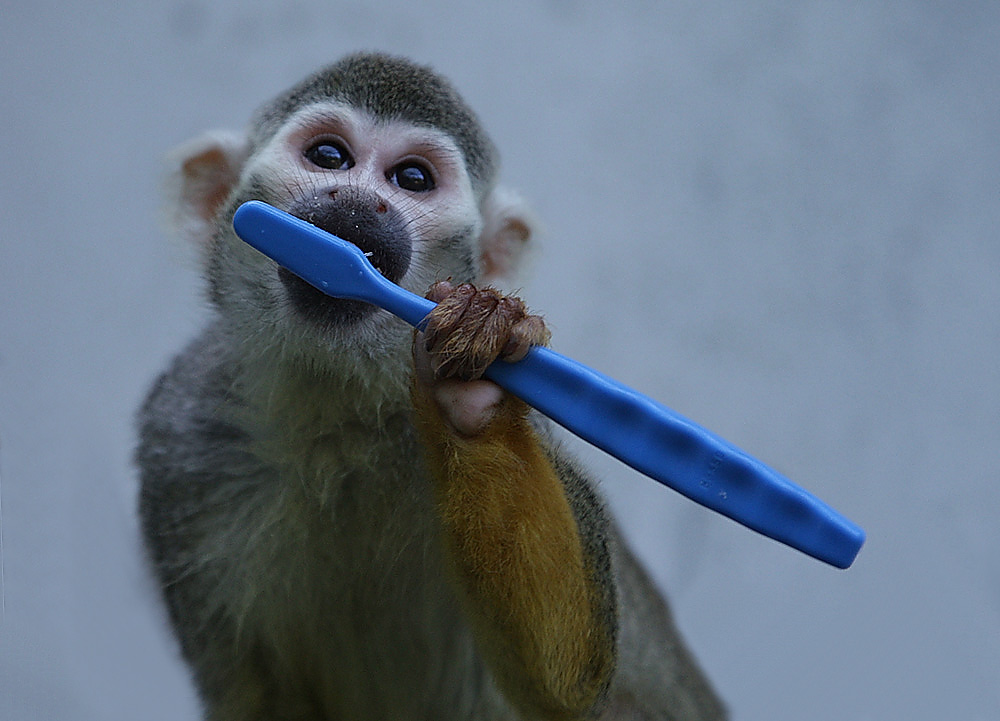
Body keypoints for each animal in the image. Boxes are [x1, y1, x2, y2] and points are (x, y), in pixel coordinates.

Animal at [135, 52, 728, 720]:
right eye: (329, 156)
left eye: (412, 178)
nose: (361, 201)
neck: (340, 407)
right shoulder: (180, 439)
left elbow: (570, 678)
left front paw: (472, 391)